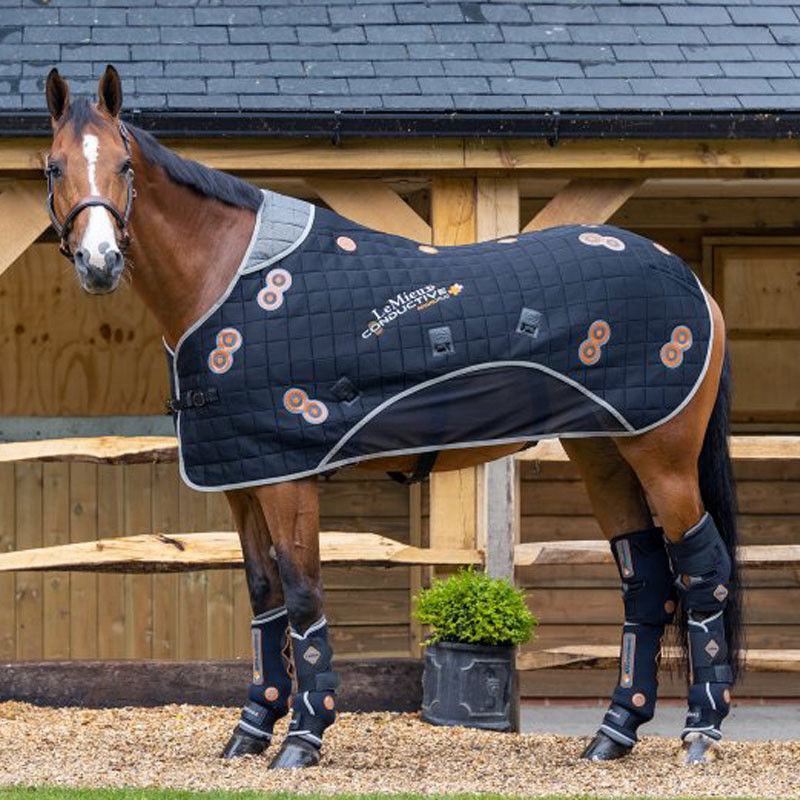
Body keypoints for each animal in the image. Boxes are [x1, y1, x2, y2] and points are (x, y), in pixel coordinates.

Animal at [43, 66, 742, 768]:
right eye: (54, 167)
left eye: (125, 165)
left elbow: (303, 593)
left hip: (664, 457)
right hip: (604, 452)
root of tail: (694, 284)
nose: (100, 262)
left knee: (703, 571)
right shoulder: (242, 479)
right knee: (644, 576)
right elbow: (266, 599)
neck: (226, 275)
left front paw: (303, 738)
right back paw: (614, 731)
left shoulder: (286, 479)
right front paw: (250, 730)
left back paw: (701, 733)